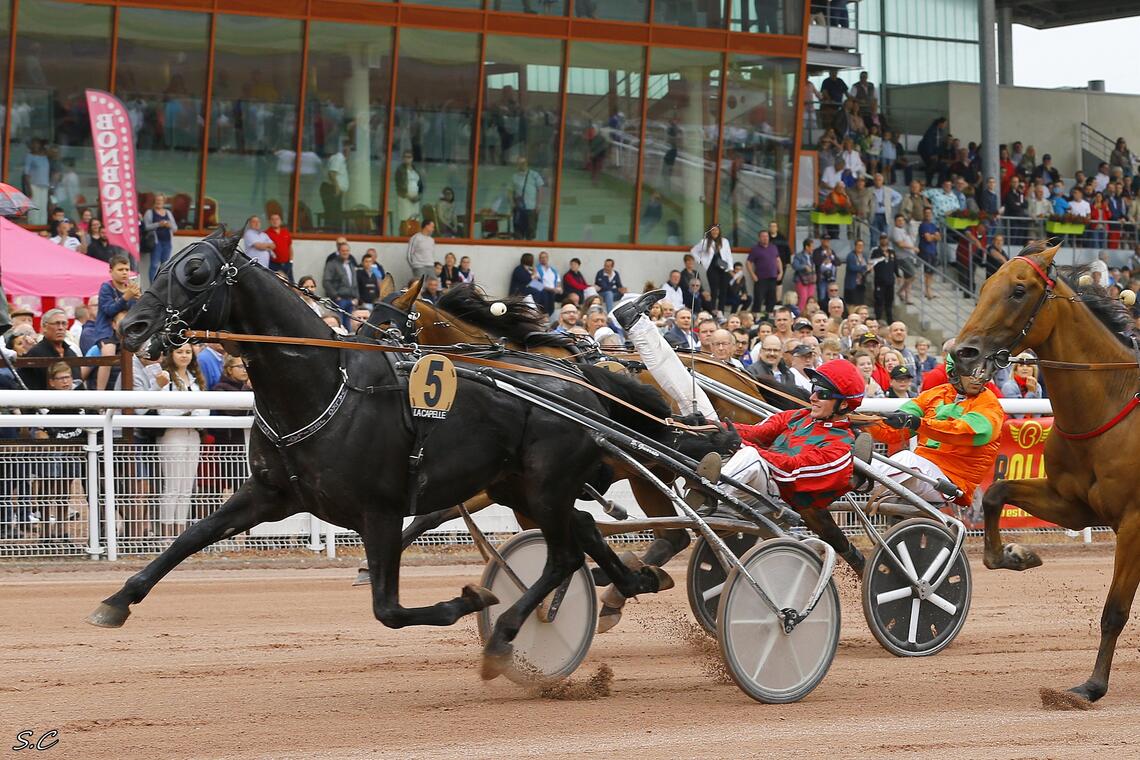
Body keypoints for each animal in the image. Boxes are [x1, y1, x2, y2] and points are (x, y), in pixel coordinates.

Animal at [93, 229, 702, 679]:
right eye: (160, 267)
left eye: (196, 272)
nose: (133, 325)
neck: (324, 385)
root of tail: (584, 386)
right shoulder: (270, 493)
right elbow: (190, 537)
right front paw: (117, 600)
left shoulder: (379, 511)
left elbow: (387, 609)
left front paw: (468, 602)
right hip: (522, 488)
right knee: (583, 533)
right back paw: (631, 581)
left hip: (547, 485)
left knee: (568, 554)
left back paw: (507, 634)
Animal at [957, 240, 1135, 706]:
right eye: (986, 284)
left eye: (1019, 291)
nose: (962, 352)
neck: (1112, 405)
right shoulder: (1072, 504)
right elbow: (997, 492)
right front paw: (1014, 555)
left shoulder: (1134, 523)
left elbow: (1114, 611)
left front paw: (1091, 686)